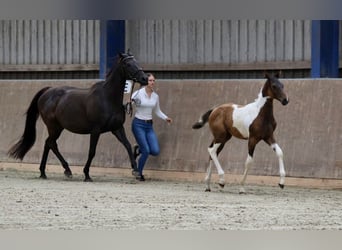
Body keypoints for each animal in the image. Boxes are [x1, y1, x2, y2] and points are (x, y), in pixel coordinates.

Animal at [8, 52, 148, 182]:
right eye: (128, 64)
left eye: (136, 61)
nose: (145, 78)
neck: (107, 98)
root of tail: (47, 91)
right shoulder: (96, 130)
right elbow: (92, 152)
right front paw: (87, 175)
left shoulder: (117, 128)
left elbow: (128, 145)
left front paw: (136, 171)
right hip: (54, 127)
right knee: (51, 143)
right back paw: (64, 170)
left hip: (58, 128)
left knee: (49, 144)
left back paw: (45, 172)